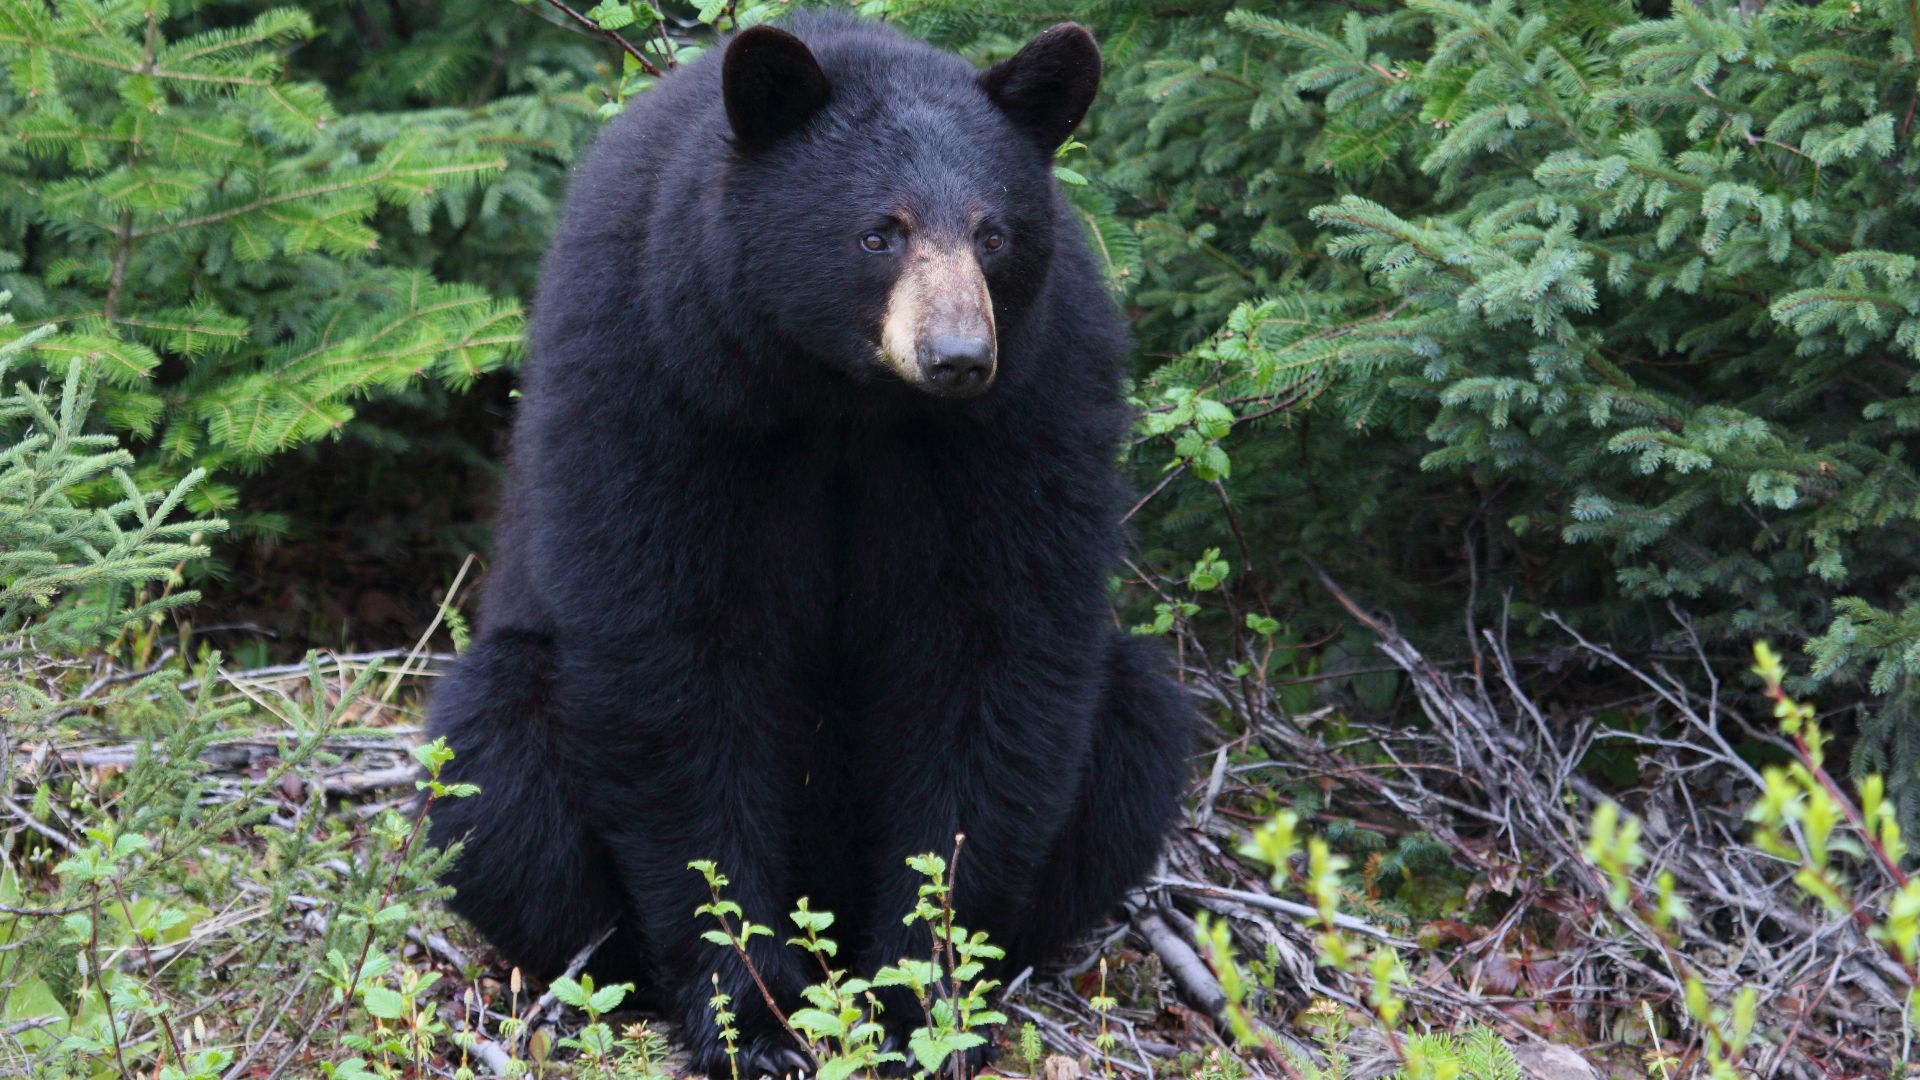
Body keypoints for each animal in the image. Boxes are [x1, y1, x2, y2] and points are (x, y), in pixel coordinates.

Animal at [423, 12, 1193, 1075]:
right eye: (879, 232)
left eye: (993, 235)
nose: (959, 358)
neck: (844, 399)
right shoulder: (654, 370)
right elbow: (676, 661)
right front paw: (755, 1017)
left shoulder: (1035, 398)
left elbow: (991, 656)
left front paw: (917, 1002)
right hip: (507, 724)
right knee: (493, 761)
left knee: (1135, 722)